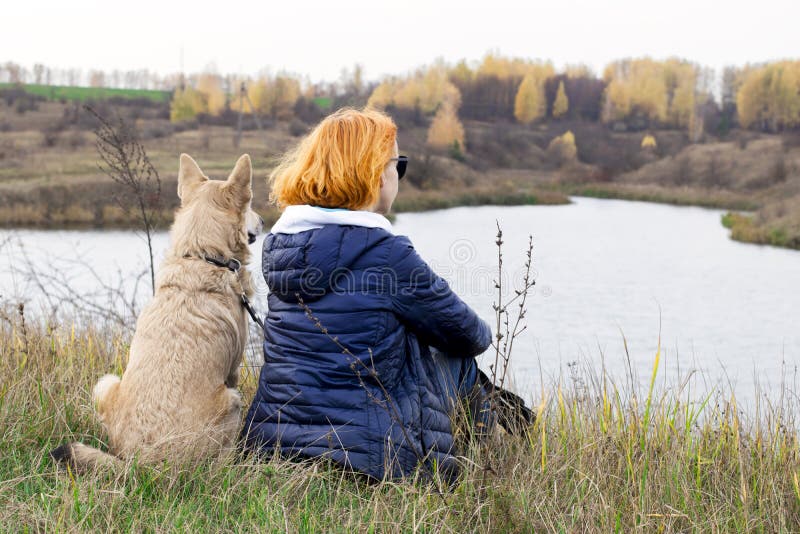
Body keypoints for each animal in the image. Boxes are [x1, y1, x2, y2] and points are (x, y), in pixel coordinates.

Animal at [52, 153, 262, 472]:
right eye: (249, 206)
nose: (263, 221)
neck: (202, 255)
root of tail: (140, 463)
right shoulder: (234, 368)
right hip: (231, 400)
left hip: (106, 383)